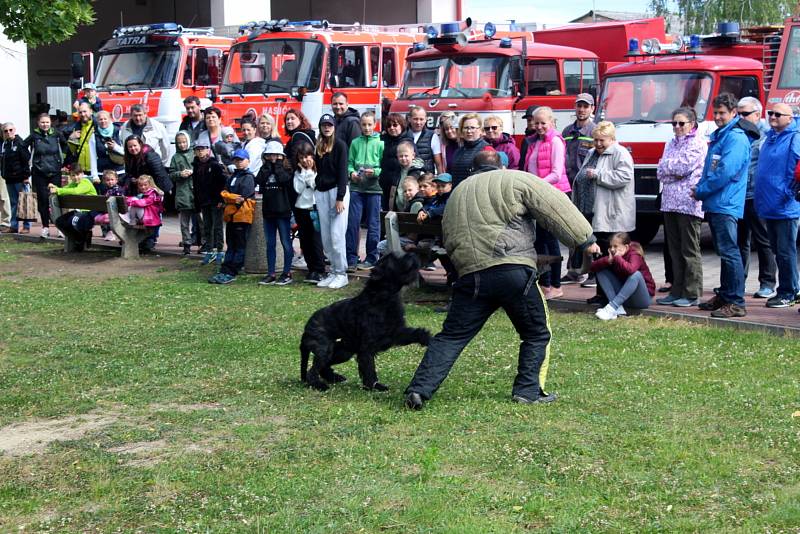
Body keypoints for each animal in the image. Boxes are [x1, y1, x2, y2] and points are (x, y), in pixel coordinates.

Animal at [300, 253, 432, 392]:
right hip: (325, 350)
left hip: (344, 351)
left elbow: (412, 333)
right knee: (313, 371)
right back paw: (320, 385)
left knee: (323, 366)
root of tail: (305, 331)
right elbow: (369, 368)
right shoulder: (368, 346)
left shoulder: (395, 332)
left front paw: (426, 337)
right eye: (394, 259)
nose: (412, 255)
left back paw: (334, 378)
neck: (383, 297)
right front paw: (374, 385)